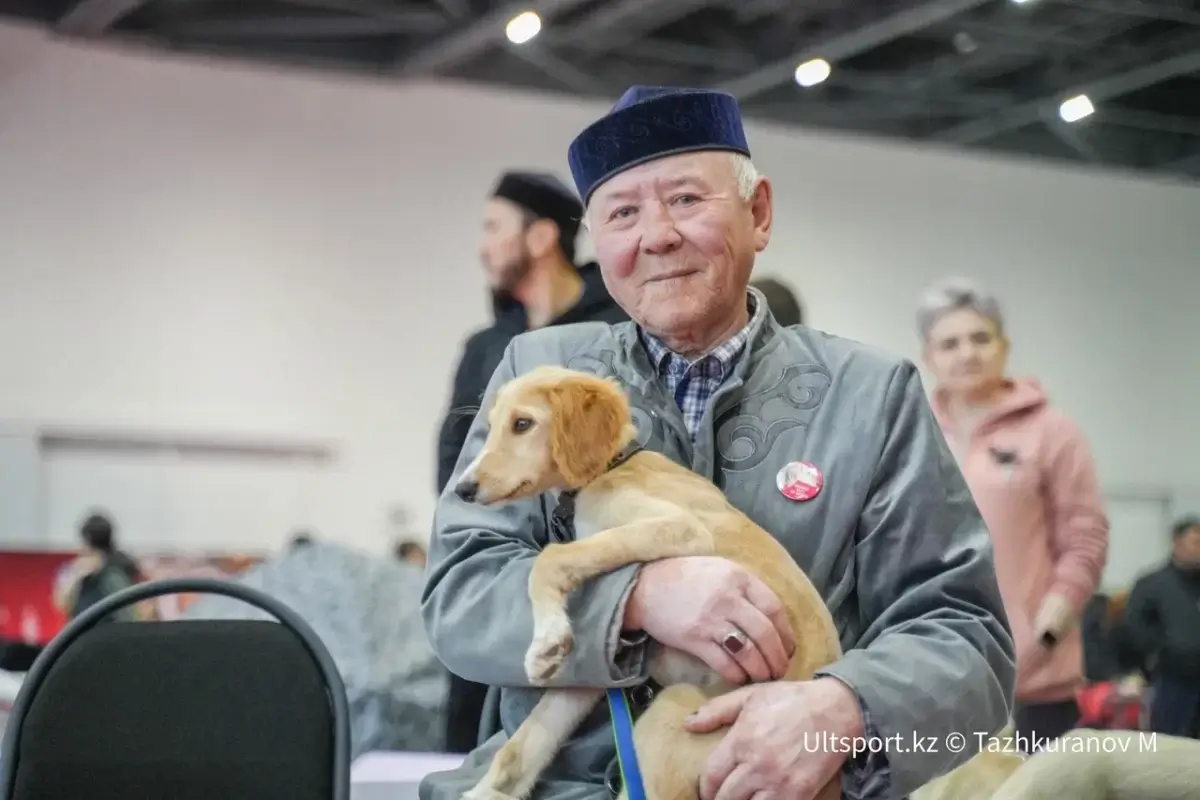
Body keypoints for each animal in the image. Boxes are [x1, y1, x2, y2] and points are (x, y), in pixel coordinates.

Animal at [451, 367, 844, 800]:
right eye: (491, 426)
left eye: (522, 424)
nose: (462, 489)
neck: (612, 467)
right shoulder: (597, 672)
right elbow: (527, 742)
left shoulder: (681, 528)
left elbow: (551, 558)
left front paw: (546, 639)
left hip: (672, 718)